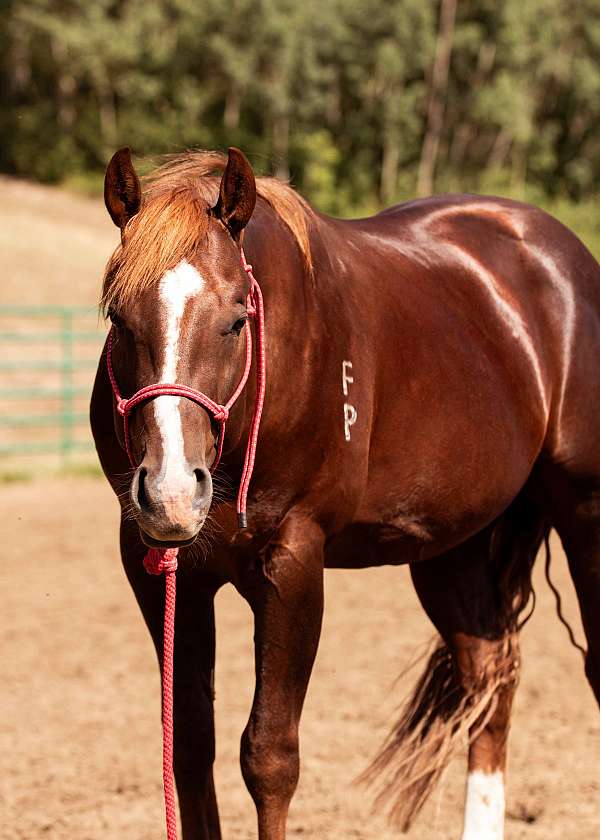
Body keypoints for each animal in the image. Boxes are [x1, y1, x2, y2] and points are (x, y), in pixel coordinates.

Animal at [91, 146, 600, 840]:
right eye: (118, 317)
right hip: (454, 549)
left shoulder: (293, 562)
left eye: (236, 320)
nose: (170, 492)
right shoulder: (165, 572)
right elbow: (189, 746)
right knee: (490, 679)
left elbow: (270, 756)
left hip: (586, 513)